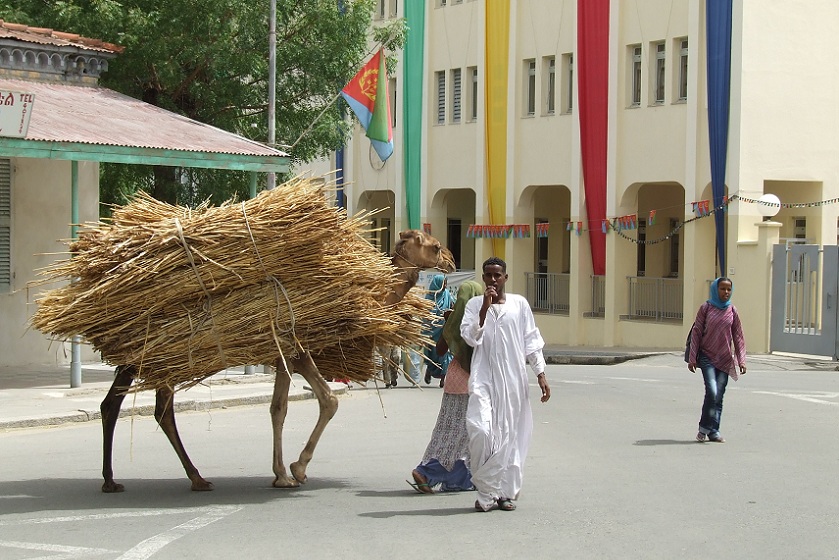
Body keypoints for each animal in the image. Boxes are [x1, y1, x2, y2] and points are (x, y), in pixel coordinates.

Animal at [99, 230, 456, 492]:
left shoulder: (285, 357)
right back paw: (156, 479)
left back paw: (147, 478)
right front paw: (296, 470)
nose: (452, 261)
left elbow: (278, 409)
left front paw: (280, 473)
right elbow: (327, 402)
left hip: (154, 361)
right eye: (435, 246)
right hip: (159, 356)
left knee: (133, 405)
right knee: (143, 407)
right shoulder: (298, 350)